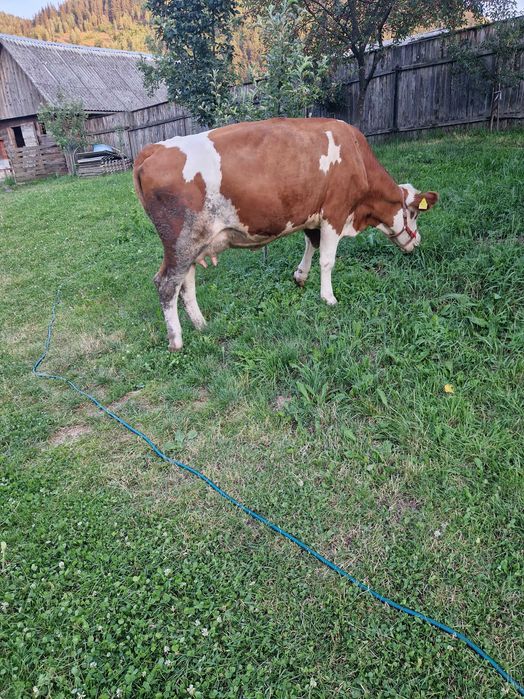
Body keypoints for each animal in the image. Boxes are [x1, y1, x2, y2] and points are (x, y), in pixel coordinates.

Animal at [133, 118, 438, 351]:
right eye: (414, 213)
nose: (417, 243)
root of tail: (154, 148)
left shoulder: (313, 215)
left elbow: (311, 243)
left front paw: (300, 276)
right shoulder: (335, 212)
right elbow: (327, 260)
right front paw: (328, 298)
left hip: (193, 244)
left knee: (186, 282)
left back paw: (201, 324)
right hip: (181, 240)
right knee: (167, 284)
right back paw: (176, 340)